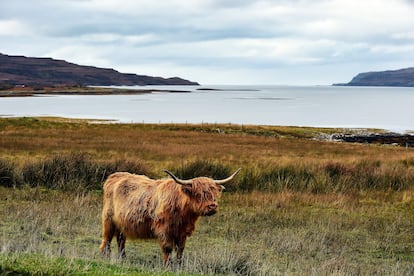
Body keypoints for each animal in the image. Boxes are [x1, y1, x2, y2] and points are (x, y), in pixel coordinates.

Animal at [99, 168, 239, 264]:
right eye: (198, 194)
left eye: (214, 193)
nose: (212, 206)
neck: (184, 214)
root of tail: (114, 175)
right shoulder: (164, 230)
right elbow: (167, 248)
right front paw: (167, 265)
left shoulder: (182, 232)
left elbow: (180, 249)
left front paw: (179, 264)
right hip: (108, 220)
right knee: (107, 239)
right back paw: (105, 257)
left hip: (122, 223)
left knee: (121, 240)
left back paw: (123, 257)